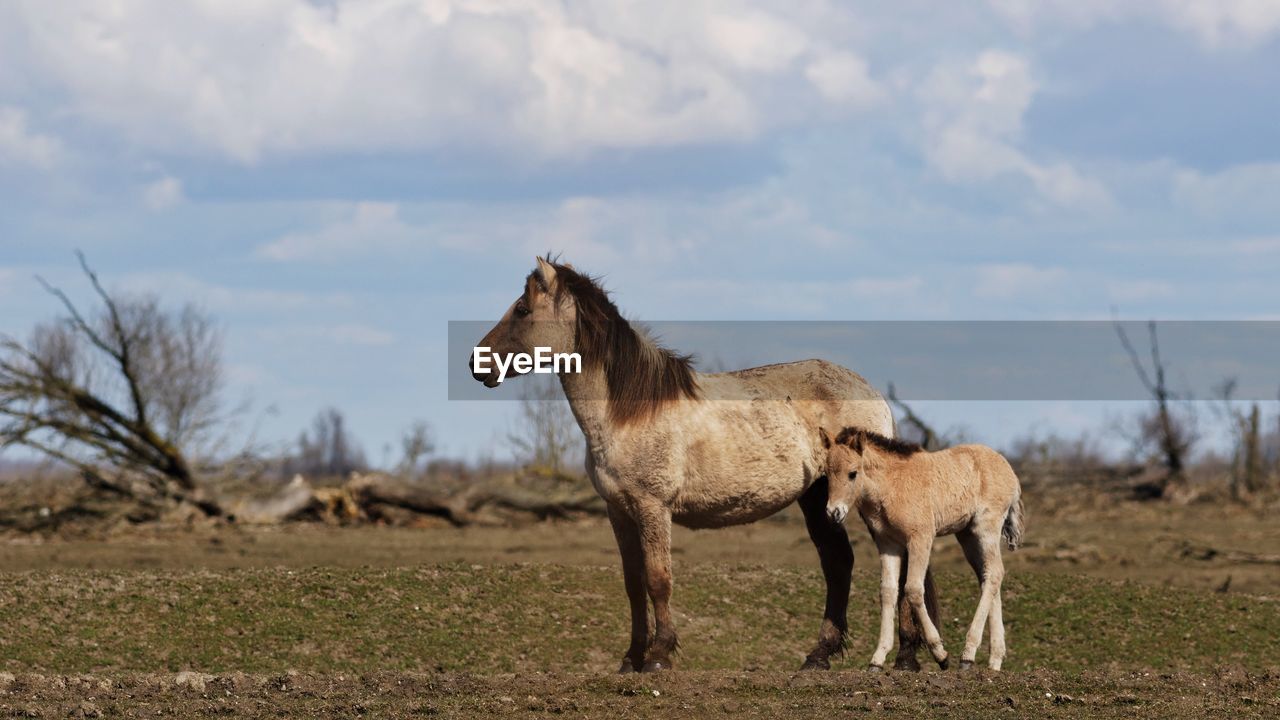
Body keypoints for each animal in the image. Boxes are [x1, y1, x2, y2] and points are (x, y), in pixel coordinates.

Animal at [473, 254, 942, 671]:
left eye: (522, 309)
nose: (478, 364)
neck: (628, 411)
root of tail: (872, 392)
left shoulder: (653, 508)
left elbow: (658, 580)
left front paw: (659, 657)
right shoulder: (618, 511)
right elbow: (633, 584)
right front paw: (630, 659)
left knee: (900, 564)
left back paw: (905, 658)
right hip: (817, 498)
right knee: (838, 563)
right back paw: (820, 656)